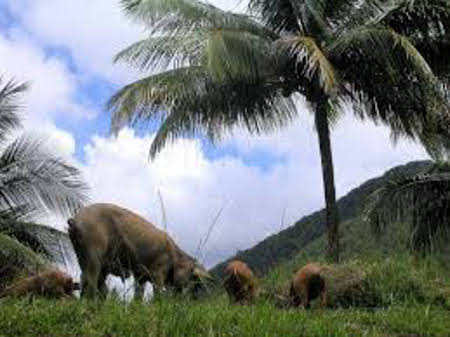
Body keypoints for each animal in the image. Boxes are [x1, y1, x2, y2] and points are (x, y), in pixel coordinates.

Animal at [67, 203, 212, 298]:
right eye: (194, 279)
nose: (190, 299)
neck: (176, 258)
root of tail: (75, 219)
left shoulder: (140, 275)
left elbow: (138, 295)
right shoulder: (158, 270)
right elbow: (157, 293)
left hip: (83, 255)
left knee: (91, 284)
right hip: (93, 250)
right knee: (90, 283)